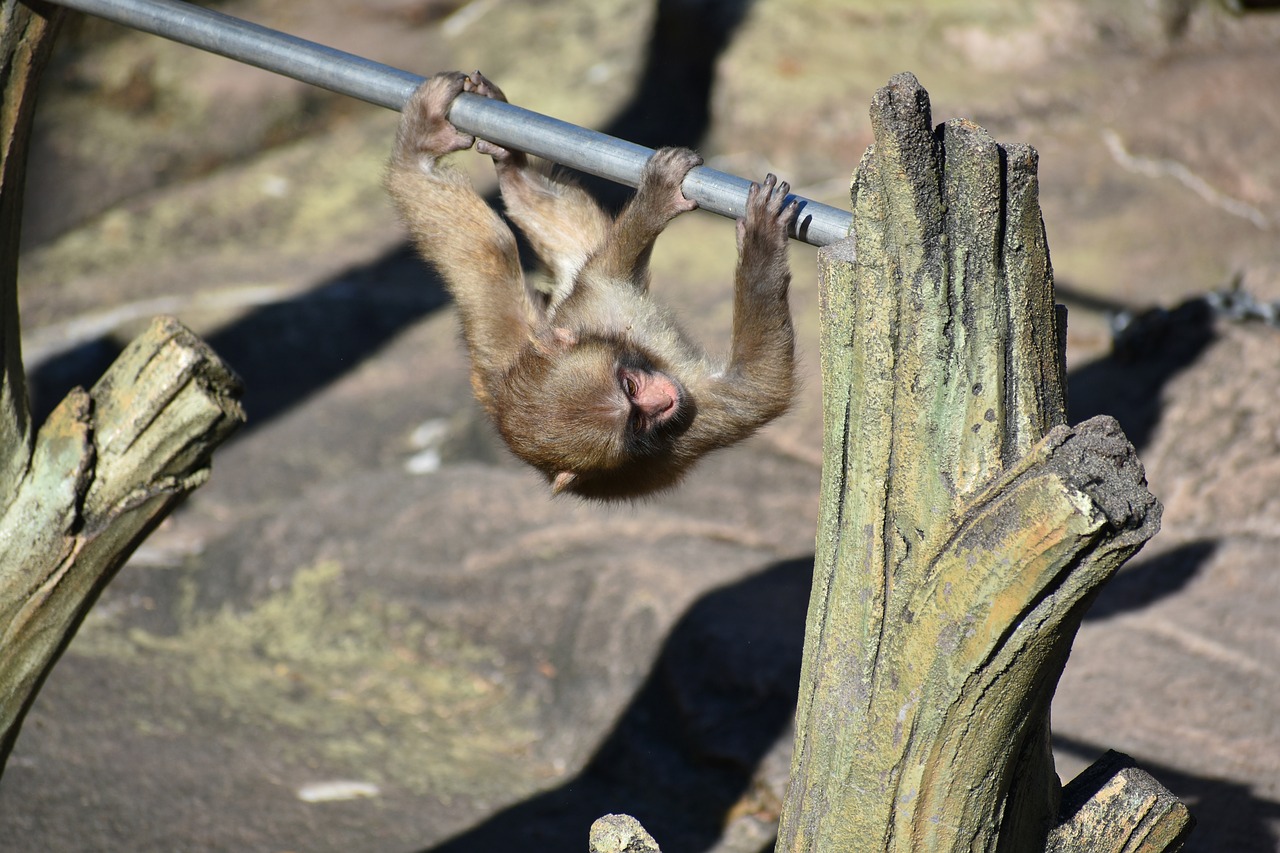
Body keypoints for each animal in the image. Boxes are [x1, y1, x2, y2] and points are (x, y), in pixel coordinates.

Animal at [384, 73, 793, 502]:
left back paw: (496, 164)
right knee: (494, 250)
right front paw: (758, 242)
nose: (665, 398)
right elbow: (761, 387)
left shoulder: (595, 312)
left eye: (629, 385)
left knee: (495, 248)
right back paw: (422, 154)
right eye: (636, 420)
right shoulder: (693, 417)